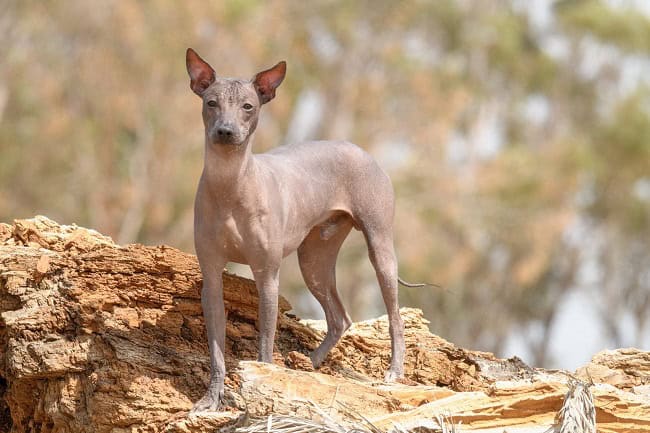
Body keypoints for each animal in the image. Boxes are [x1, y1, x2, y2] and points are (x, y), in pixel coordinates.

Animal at [182, 49, 418, 410]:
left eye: (248, 106)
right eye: (211, 102)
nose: (225, 131)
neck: (231, 186)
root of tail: (359, 148)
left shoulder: (267, 274)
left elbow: (265, 344)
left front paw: (263, 382)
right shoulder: (211, 276)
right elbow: (217, 353)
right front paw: (212, 398)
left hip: (379, 247)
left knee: (395, 317)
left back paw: (394, 370)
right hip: (314, 261)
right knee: (339, 318)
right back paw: (310, 363)